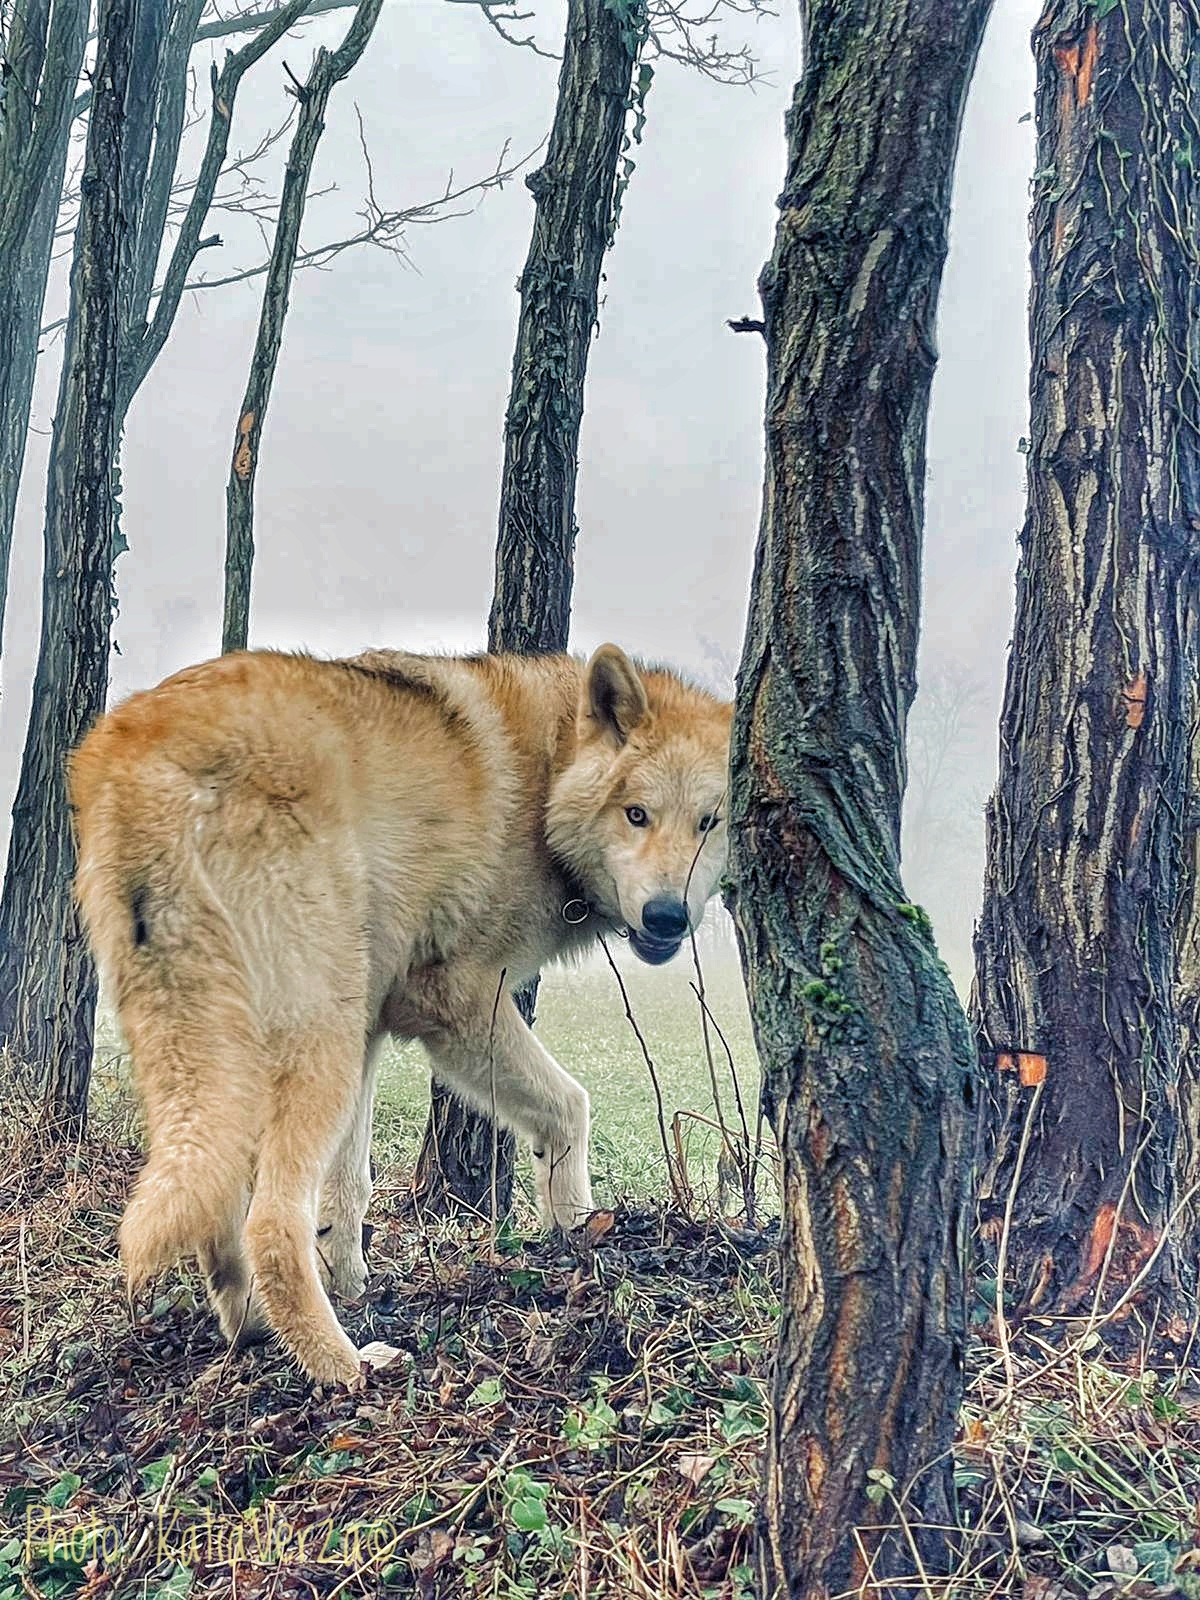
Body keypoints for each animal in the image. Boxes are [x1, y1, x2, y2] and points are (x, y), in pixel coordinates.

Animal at [69, 643, 732, 1386]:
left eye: (709, 822)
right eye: (637, 814)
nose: (667, 916)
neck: (547, 771)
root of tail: (144, 754)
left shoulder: (371, 1028)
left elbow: (347, 1189)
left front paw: (353, 1282)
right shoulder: (456, 1001)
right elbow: (569, 1106)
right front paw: (579, 1230)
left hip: (227, 1054)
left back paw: (254, 1333)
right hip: (313, 1040)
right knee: (270, 1222)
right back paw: (343, 1366)